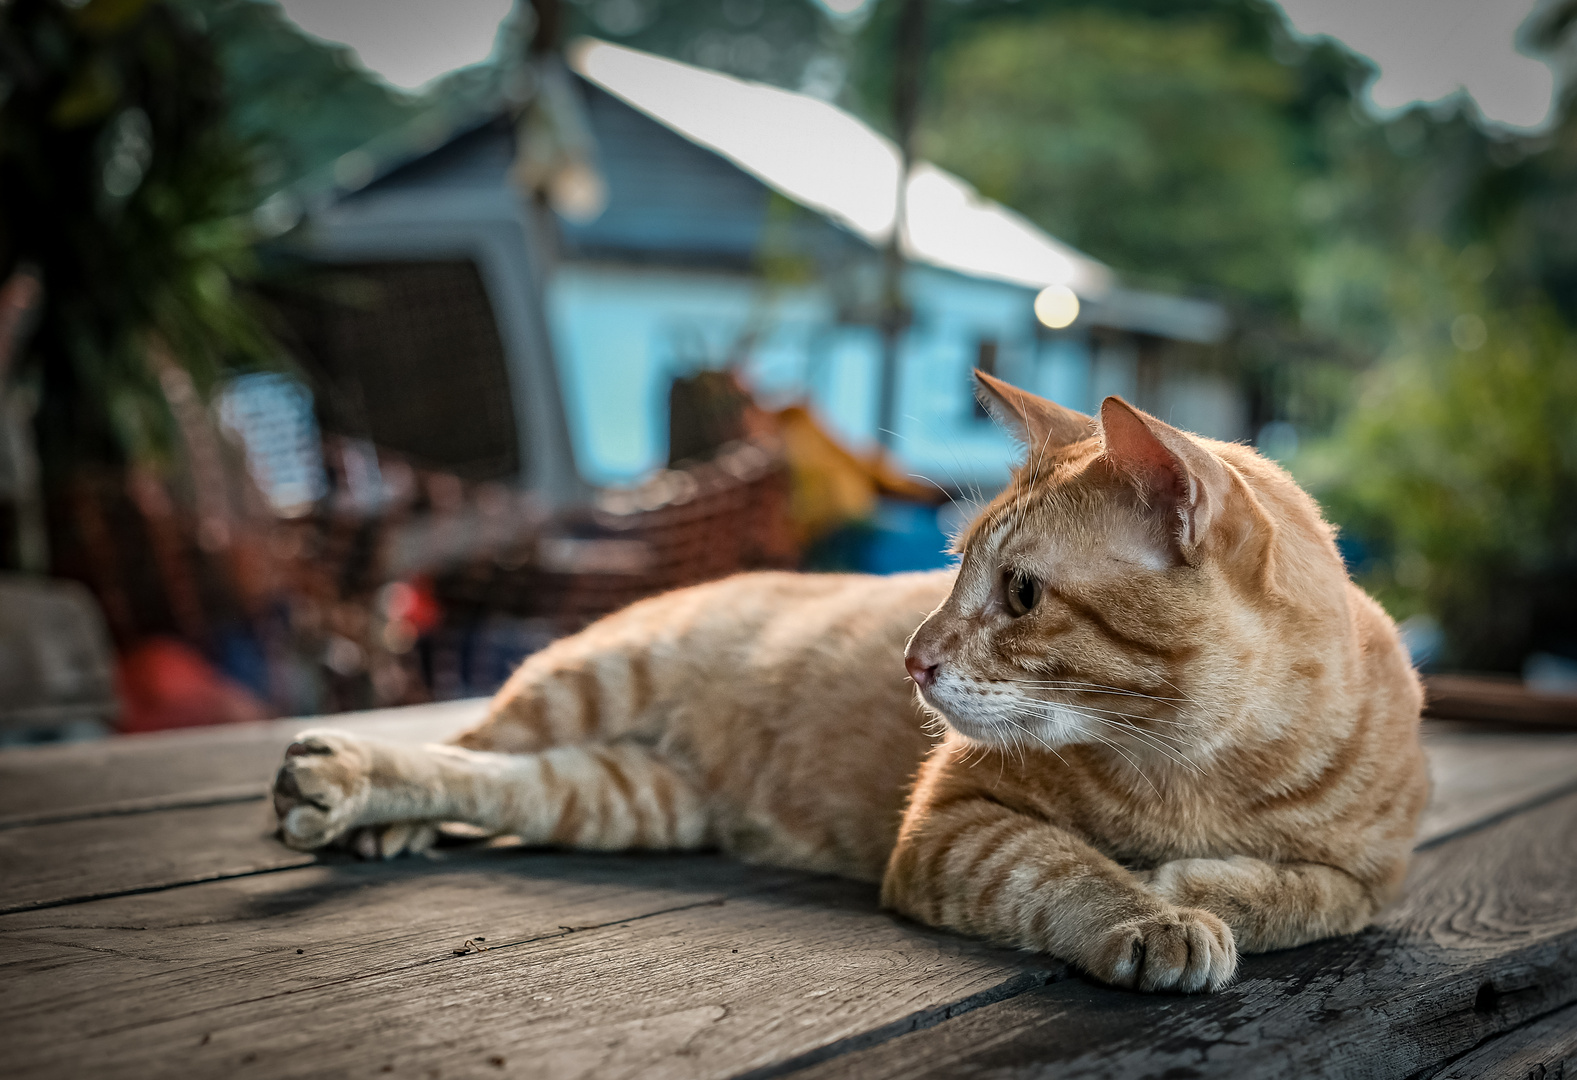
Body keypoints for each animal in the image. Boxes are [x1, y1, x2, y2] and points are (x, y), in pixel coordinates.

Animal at [271, 372, 1431, 996]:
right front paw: (1154, 910)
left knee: (497, 783)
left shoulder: (1377, 878)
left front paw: (1202, 882)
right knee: (462, 748)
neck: (1196, 763)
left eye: (1020, 593)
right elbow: (1071, 868)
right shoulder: (953, 824)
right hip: (580, 687)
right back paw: (344, 791)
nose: (911, 657)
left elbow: (1313, 897)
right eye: (954, 565)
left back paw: (344, 793)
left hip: (618, 797)